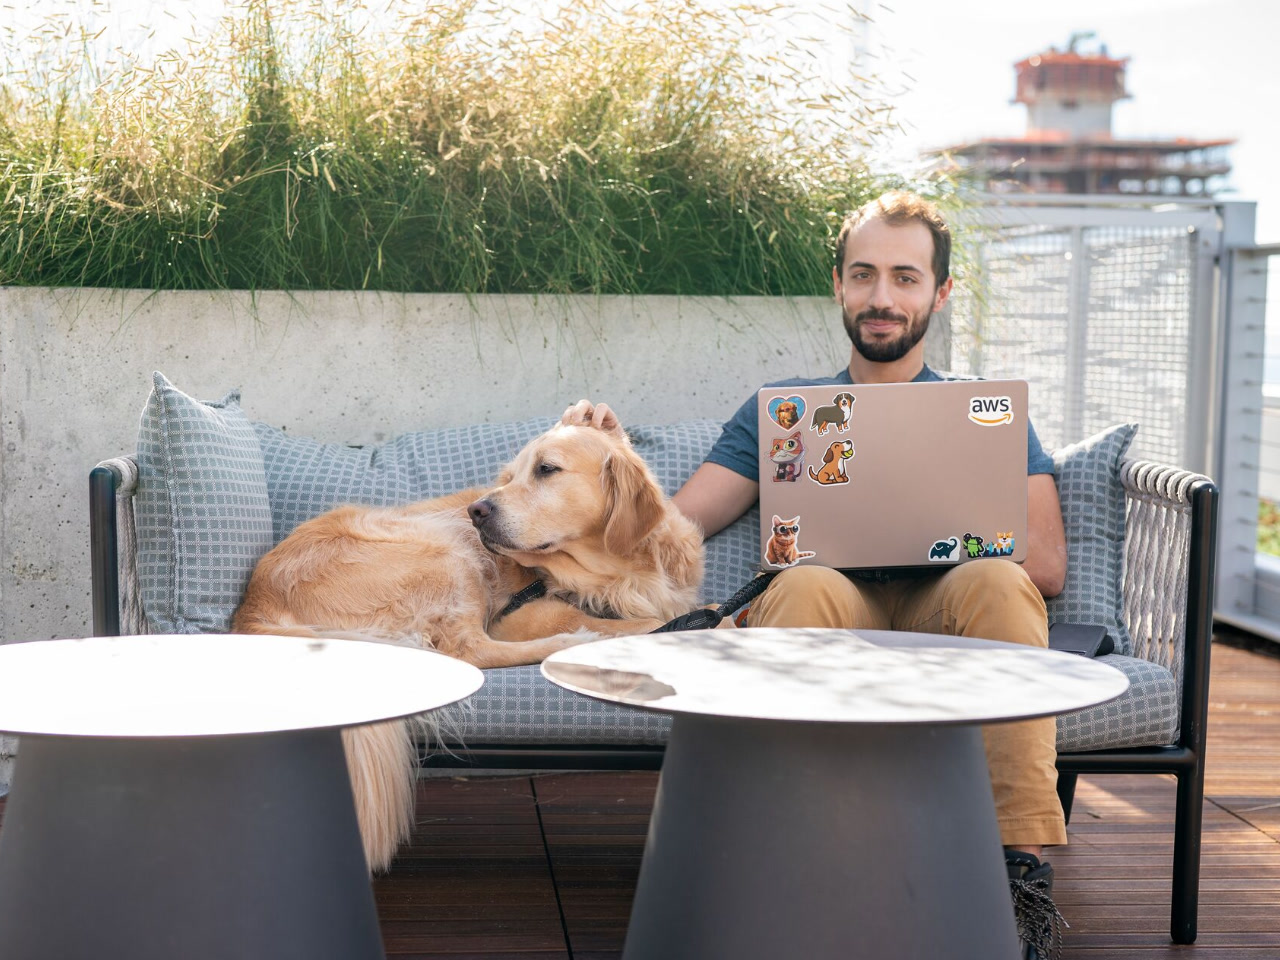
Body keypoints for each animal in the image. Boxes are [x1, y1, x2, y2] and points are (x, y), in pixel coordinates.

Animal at [235, 399, 706, 870]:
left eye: (547, 469)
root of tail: (253, 605)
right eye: (510, 476)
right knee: (468, 651)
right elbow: (657, 623)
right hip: (447, 547)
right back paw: (570, 644)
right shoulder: (524, 615)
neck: (621, 574)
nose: (476, 511)